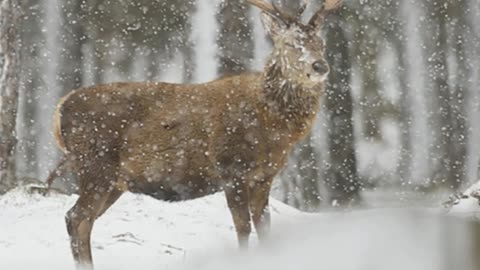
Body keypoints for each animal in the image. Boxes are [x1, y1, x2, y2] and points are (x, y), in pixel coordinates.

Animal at [50, 0, 340, 268]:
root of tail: (60, 108)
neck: (272, 127)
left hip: (113, 181)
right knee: (77, 218)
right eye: (290, 44)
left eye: (321, 42)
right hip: (95, 165)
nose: (319, 66)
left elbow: (265, 229)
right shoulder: (231, 169)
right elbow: (243, 228)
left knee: (79, 220)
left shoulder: (264, 176)